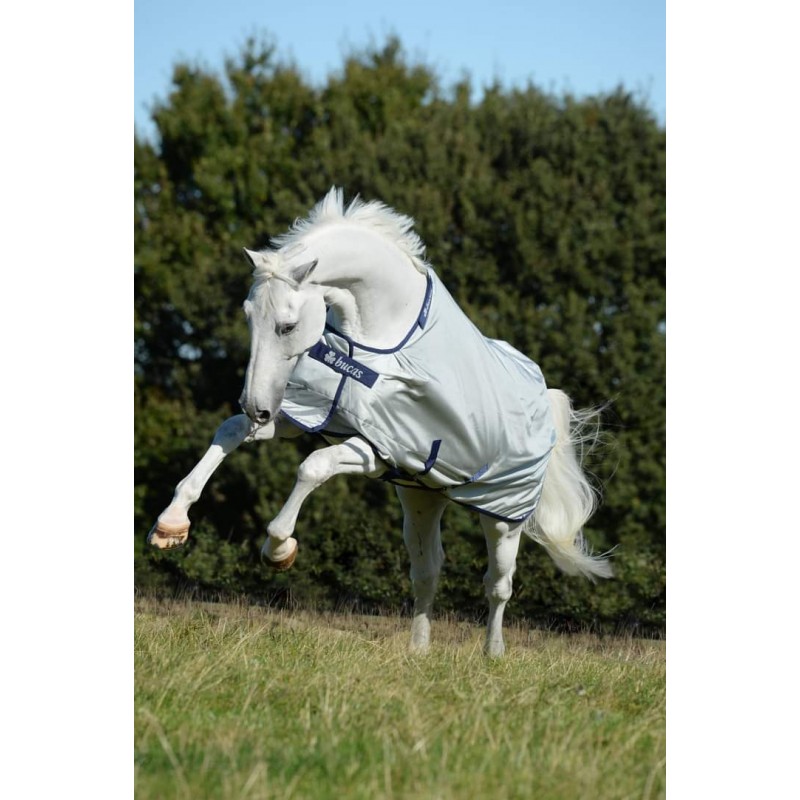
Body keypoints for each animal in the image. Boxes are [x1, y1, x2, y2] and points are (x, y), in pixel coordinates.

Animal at [148, 187, 612, 657]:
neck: (379, 337)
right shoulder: (313, 413)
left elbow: (312, 467)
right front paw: (171, 524)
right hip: (421, 497)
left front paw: (279, 549)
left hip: (503, 516)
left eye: (288, 325)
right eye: (247, 316)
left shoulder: (379, 448)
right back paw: (418, 650)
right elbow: (230, 431)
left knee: (498, 585)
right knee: (427, 572)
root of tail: (543, 395)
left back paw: (492, 653)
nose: (256, 406)